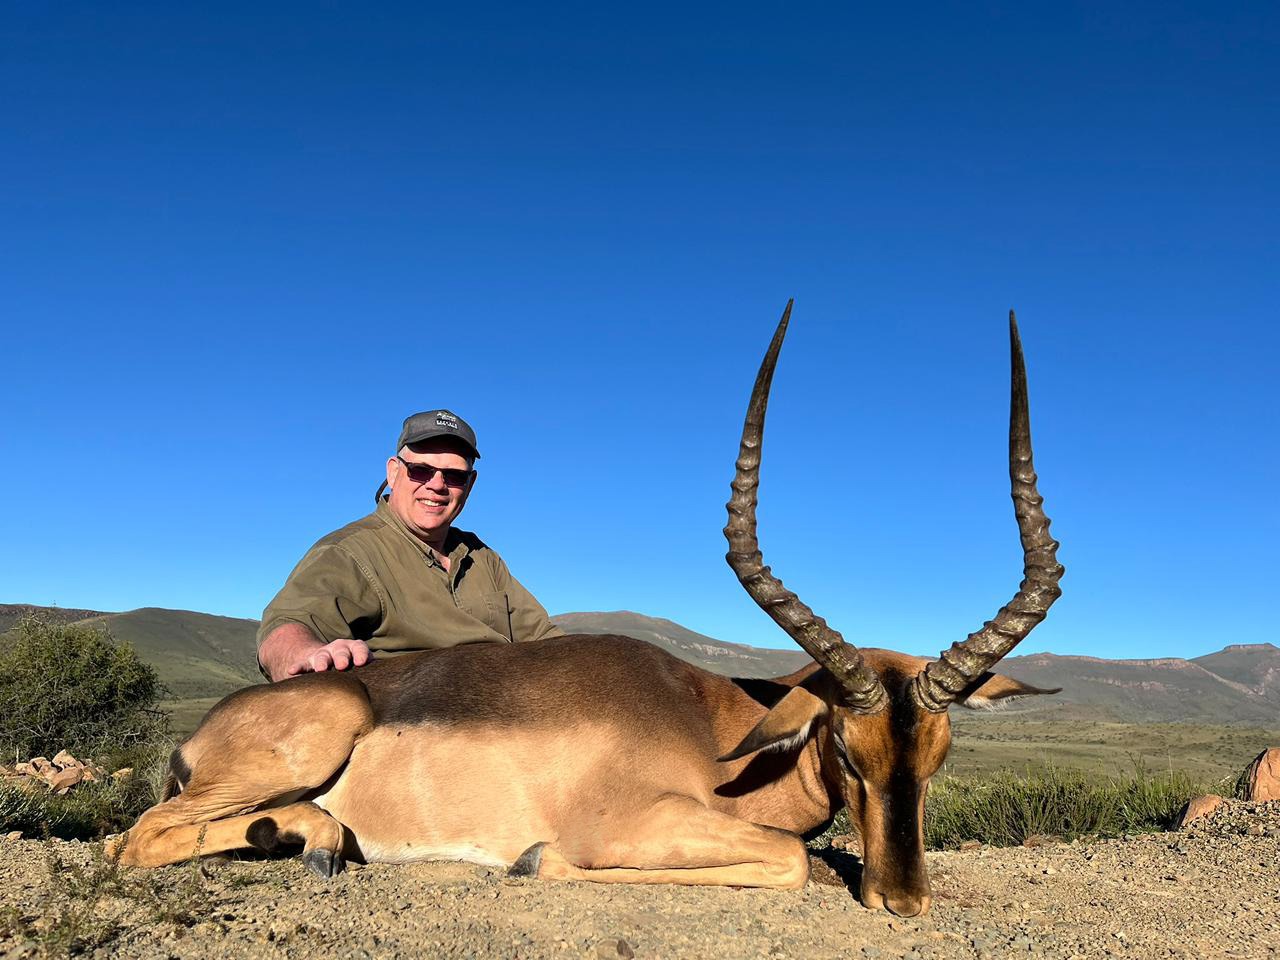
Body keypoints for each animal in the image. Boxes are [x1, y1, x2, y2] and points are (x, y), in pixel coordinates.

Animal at [110, 304, 1063, 917]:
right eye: (845, 750)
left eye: (938, 756)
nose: (904, 901)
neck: (713, 727)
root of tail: (206, 730)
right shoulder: (637, 824)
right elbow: (790, 860)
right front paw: (537, 860)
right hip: (318, 731)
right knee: (135, 840)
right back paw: (307, 838)